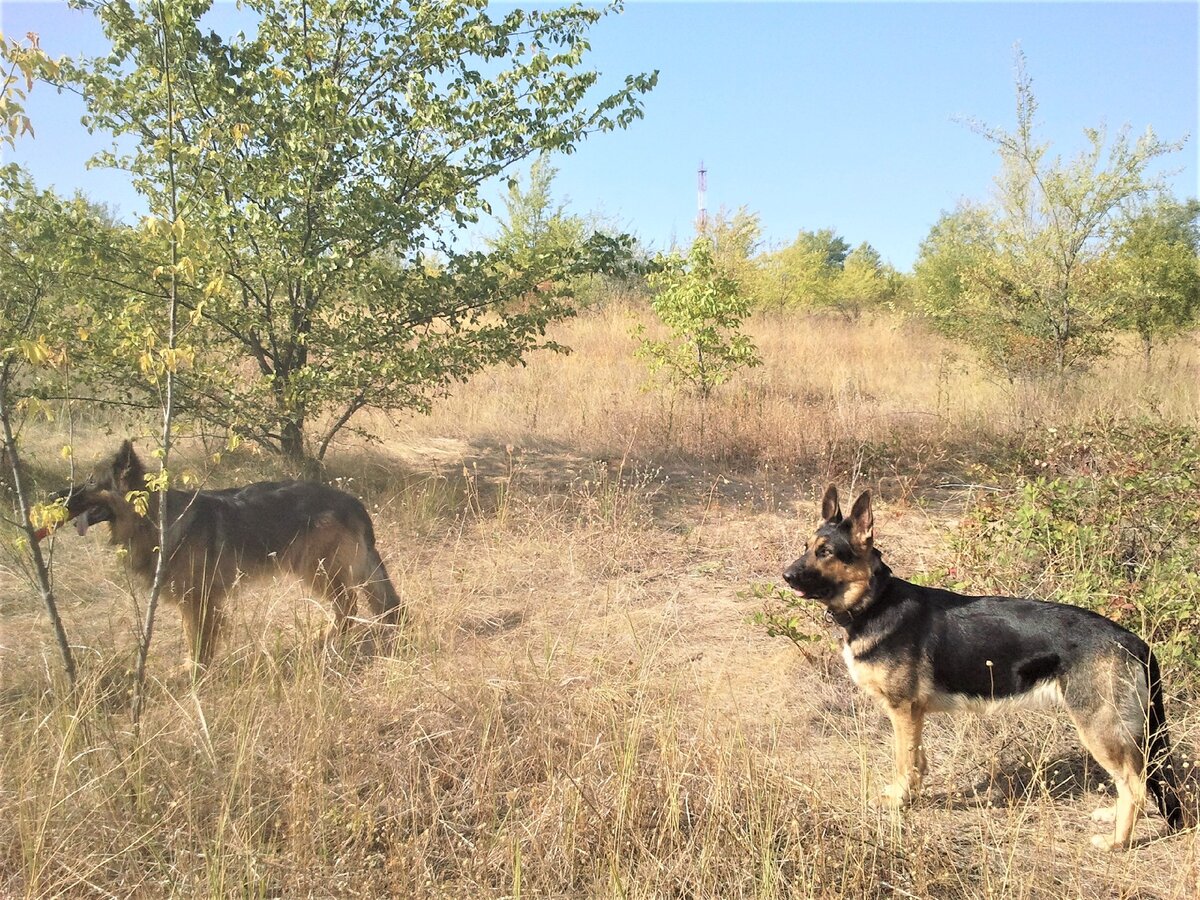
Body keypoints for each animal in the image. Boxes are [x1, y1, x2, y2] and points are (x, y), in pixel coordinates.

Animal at [54, 441, 403, 667]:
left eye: (91, 482)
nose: (54, 497)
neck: (155, 517)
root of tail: (351, 500)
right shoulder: (196, 600)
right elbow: (195, 637)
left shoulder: (199, 600)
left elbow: (198, 640)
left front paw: (196, 673)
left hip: (315, 568)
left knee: (347, 604)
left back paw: (326, 638)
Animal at [782, 489, 1185, 849]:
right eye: (806, 546)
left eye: (825, 552)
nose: (785, 575)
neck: (875, 601)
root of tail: (1134, 641)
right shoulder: (914, 714)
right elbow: (918, 759)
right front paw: (911, 794)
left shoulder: (902, 710)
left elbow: (904, 759)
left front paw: (898, 800)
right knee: (1133, 781)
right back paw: (1112, 817)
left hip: (1100, 730)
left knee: (1134, 786)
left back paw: (1117, 841)